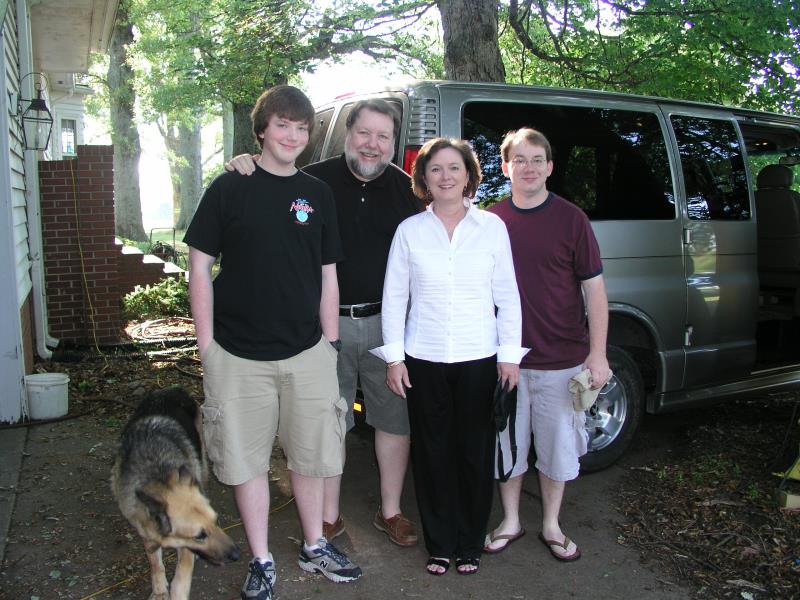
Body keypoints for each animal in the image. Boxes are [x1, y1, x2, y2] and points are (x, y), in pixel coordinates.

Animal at [111, 386, 241, 596]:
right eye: (199, 536)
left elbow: (181, 576)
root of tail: (171, 389)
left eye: (216, 521)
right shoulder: (146, 528)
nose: (238, 554)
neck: (158, 475)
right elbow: (155, 563)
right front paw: (159, 590)